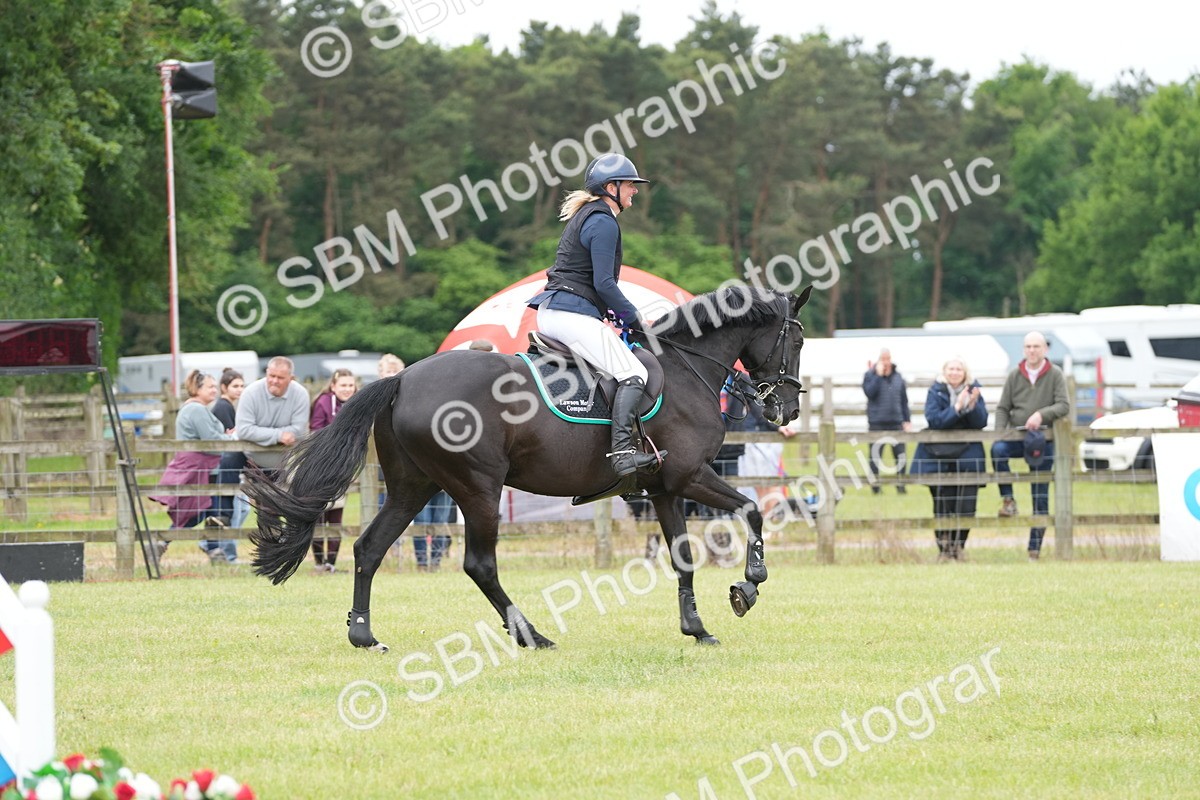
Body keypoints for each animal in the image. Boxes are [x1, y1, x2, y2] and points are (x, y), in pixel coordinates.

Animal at [246, 285, 813, 651]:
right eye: (799, 340)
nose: (787, 409)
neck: (684, 368)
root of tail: (402, 379)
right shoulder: (690, 477)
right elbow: (751, 511)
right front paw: (749, 585)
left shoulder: (665, 489)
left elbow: (683, 558)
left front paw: (697, 628)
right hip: (478, 489)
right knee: (479, 564)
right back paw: (531, 634)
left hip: (413, 487)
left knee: (369, 548)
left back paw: (363, 634)